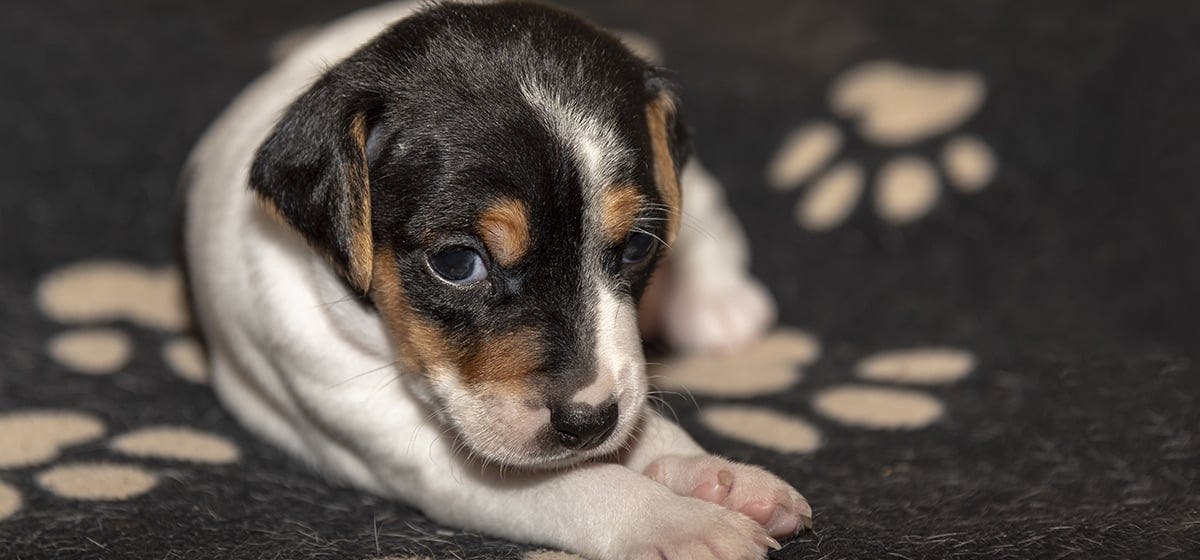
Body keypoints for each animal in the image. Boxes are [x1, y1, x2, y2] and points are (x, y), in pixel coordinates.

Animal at [184, 2, 806, 558]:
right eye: (458, 263)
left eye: (636, 246)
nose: (588, 421)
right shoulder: (435, 461)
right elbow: (585, 484)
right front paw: (686, 522)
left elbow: (643, 430)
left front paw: (723, 475)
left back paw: (716, 303)